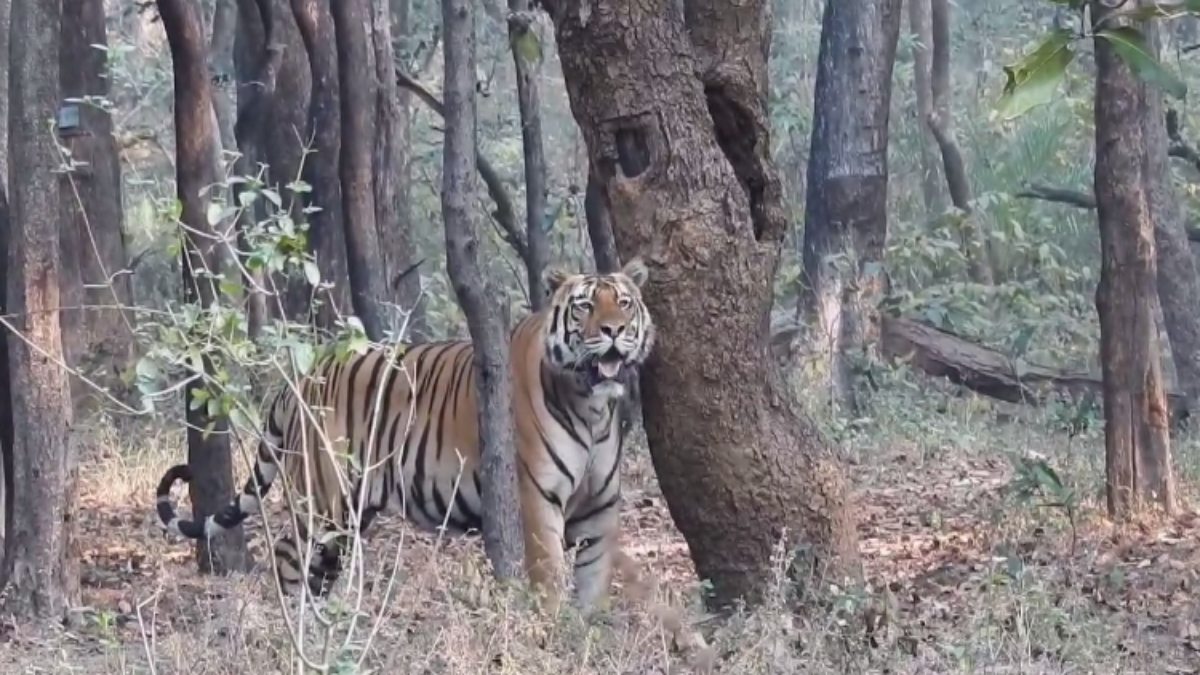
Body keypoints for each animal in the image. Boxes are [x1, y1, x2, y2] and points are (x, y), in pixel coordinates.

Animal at [154, 258, 654, 613]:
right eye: (584, 305)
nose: (614, 331)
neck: (592, 407)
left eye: (624, 303)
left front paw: (586, 638)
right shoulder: (537, 499)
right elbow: (549, 578)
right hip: (323, 500)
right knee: (286, 555)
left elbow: (593, 586)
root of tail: (301, 377)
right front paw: (550, 633)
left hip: (350, 516)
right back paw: (295, 626)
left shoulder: (599, 510)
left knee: (319, 569)